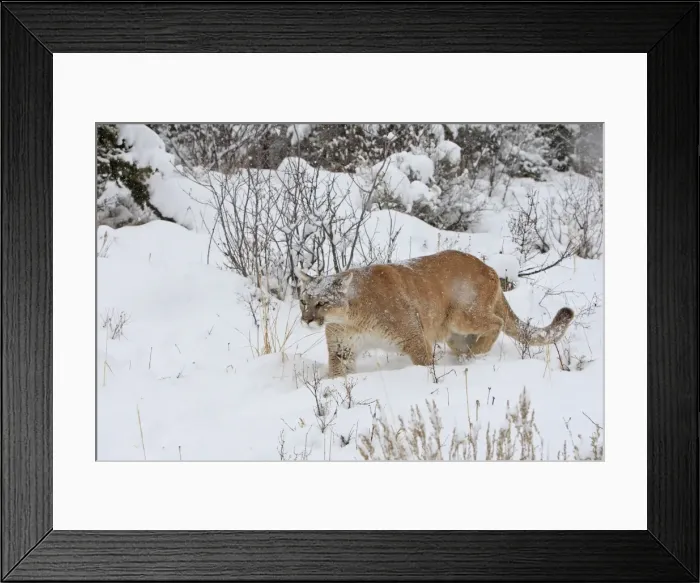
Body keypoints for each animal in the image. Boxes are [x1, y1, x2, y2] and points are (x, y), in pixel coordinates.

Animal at [295, 250, 574, 378]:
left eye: (321, 303)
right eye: (303, 301)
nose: (306, 319)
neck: (352, 319)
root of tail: (490, 268)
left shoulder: (414, 338)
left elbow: (424, 363)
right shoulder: (342, 349)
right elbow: (338, 373)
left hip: (462, 315)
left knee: (497, 321)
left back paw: (476, 354)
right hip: (454, 335)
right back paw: (466, 357)